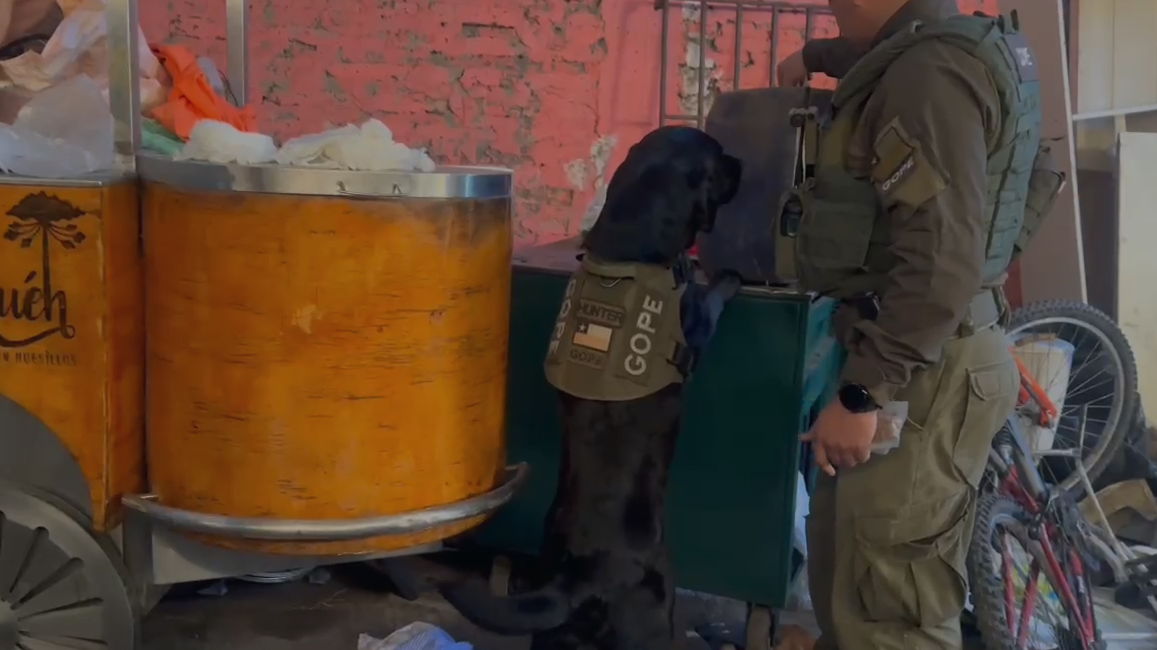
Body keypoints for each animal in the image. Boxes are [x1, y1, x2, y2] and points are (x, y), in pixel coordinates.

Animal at [437, 125, 745, 647]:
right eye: (720, 159)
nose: (742, 164)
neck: (628, 246)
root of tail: (577, 579)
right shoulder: (697, 328)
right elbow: (712, 296)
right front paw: (726, 275)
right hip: (655, 618)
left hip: (551, 633)